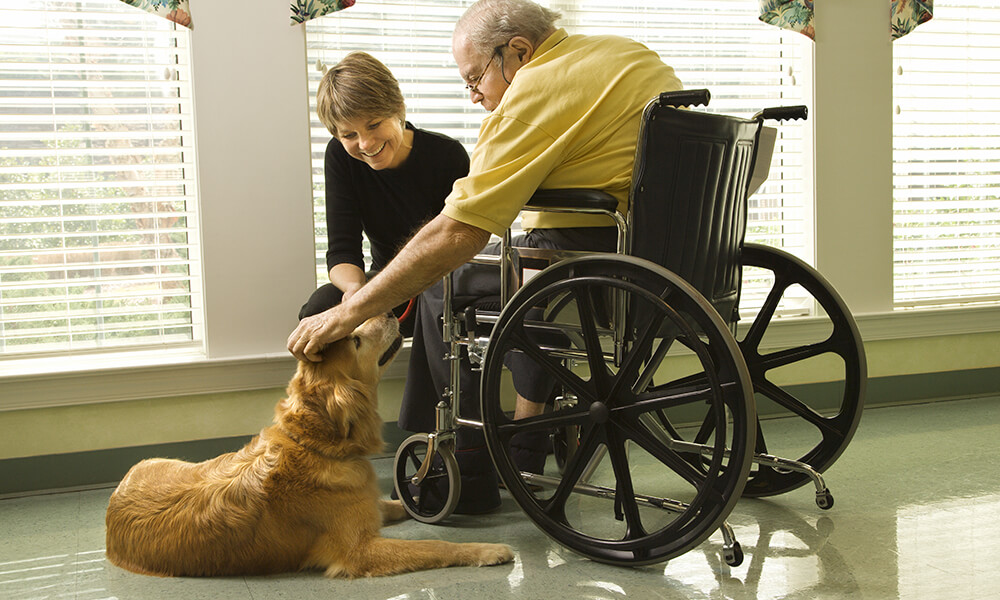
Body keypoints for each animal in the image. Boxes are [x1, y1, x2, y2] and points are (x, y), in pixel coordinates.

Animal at [105, 314, 516, 576]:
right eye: (356, 339)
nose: (389, 311)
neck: (316, 445)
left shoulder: (364, 513)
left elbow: (394, 506)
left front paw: (422, 503)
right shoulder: (359, 551)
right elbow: (435, 546)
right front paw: (487, 550)